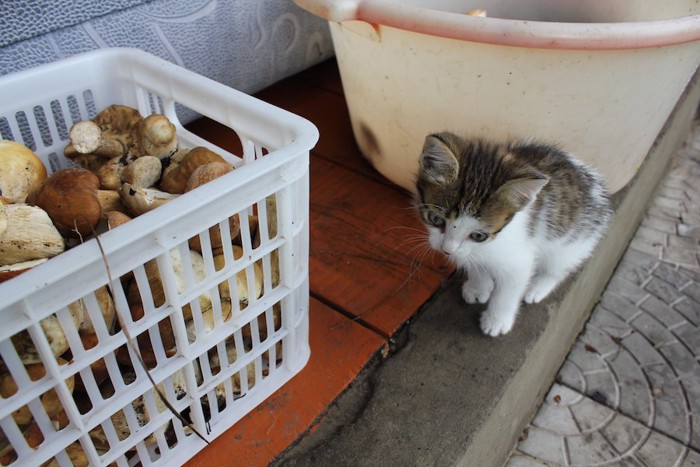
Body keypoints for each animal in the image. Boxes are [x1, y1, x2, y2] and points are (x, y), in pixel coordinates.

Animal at [416, 133, 612, 338]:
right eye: (436, 219)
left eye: (478, 235)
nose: (446, 249)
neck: (491, 244)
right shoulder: (466, 251)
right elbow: (475, 264)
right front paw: (479, 287)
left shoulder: (519, 259)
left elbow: (510, 289)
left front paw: (497, 320)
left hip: (573, 243)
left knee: (558, 267)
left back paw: (537, 287)